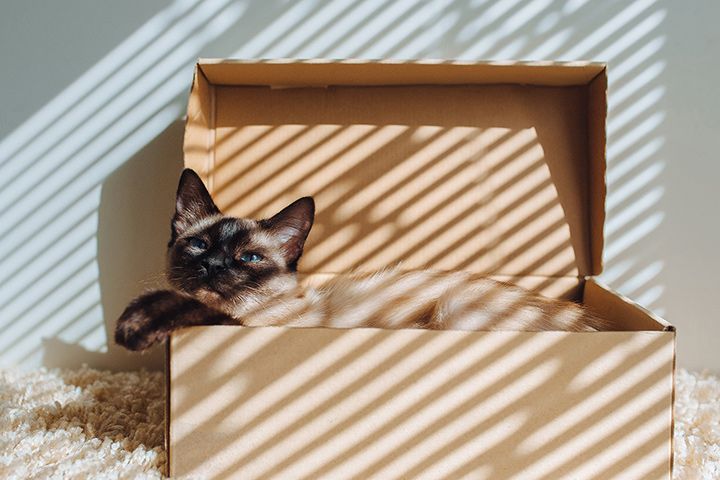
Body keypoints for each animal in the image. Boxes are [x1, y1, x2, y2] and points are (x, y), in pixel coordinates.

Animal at [115, 169, 605, 351]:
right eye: (200, 246)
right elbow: (185, 299)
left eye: (249, 257)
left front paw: (132, 329)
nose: (214, 266)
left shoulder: (252, 324)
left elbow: (196, 307)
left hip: (453, 309)